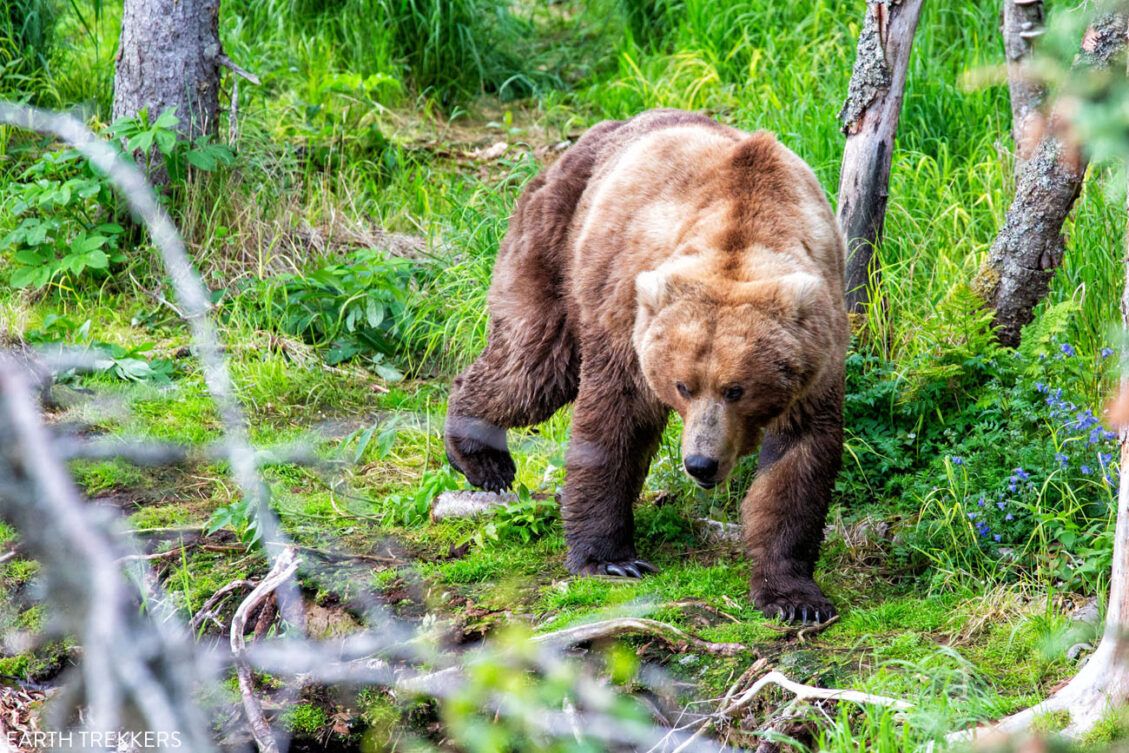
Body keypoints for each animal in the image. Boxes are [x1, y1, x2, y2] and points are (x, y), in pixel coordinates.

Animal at [440, 107, 849, 623]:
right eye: (683, 386)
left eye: (736, 389)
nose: (700, 463)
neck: (743, 228)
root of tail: (599, 130)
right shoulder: (628, 319)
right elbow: (616, 420)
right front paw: (611, 558)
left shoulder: (819, 351)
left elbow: (797, 461)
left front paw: (795, 596)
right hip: (556, 245)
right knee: (530, 366)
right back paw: (482, 459)